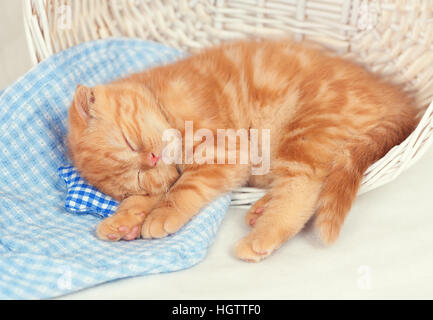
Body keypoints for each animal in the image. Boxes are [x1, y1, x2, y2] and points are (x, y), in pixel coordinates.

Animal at [66, 40, 416, 262]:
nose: (151, 158)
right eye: (137, 176)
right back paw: (260, 211)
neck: (163, 99)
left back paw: (263, 236)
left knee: (303, 187)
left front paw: (161, 215)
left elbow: (183, 188)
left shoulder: (227, 149)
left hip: (309, 128)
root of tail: (399, 100)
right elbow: (155, 192)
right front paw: (123, 220)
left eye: (129, 141)